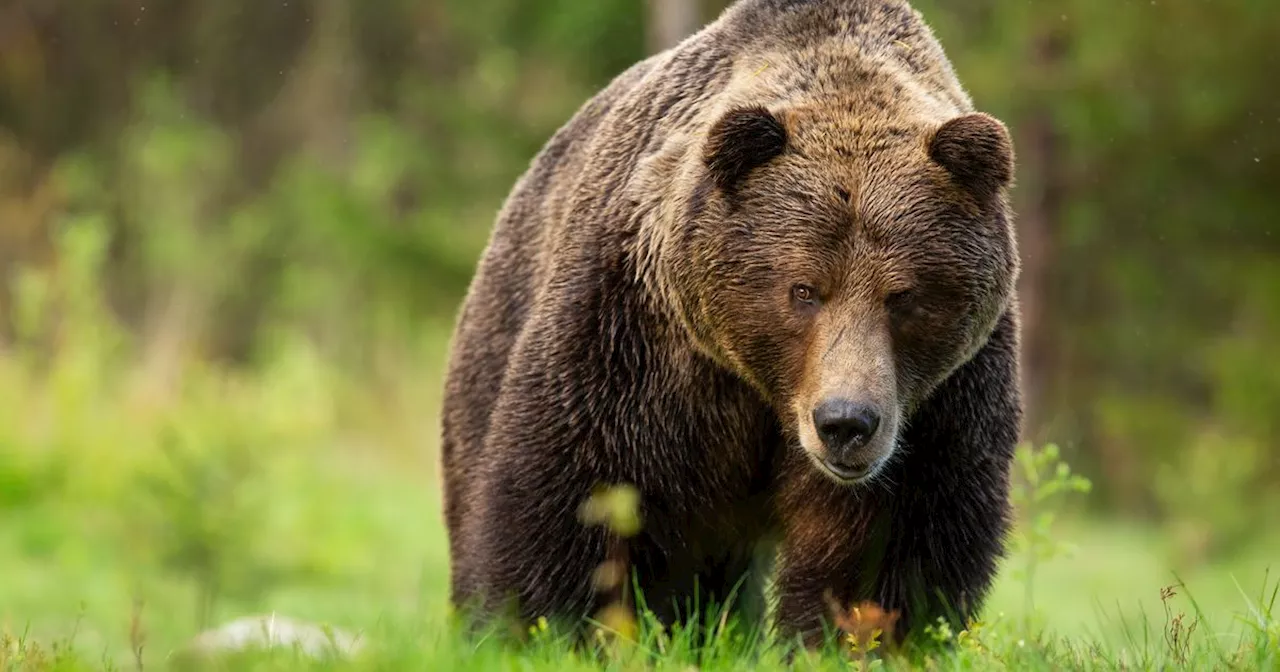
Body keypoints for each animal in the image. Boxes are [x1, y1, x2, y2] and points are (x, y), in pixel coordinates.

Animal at [440, 0, 1018, 650]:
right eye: (803, 290)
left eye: (903, 296)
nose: (846, 423)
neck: (767, 390)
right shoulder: (637, 339)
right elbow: (574, 489)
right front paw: (535, 626)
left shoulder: (941, 401)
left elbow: (887, 547)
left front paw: (851, 639)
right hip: (497, 333)